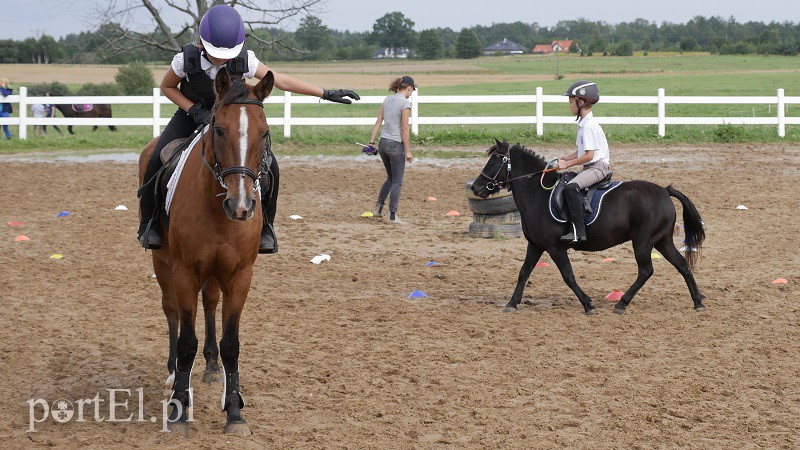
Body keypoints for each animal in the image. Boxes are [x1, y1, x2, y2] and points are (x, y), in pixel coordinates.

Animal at [138, 69, 274, 435]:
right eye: (219, 129)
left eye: (264, 132)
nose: (241, 206)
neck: (217, 208)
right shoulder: (184, 272)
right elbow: (186, 341)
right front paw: (179, 407)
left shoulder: (240, 276)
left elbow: (231, 344)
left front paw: (235, 411)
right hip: (162, 263)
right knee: (171, 311)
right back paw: (173, 372)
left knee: (210, 302)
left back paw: (212, 367)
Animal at [471, 140, 706, 315]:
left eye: (493, 161)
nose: (476, 187)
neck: (538, 194)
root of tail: (665, 191)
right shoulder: (536, 245)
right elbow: (523, 272)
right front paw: (512, 303)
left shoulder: (555, 248)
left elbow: (568, 276)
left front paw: (588, 304)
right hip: (661, 241)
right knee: (682, 264)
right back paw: (697, 301)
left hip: (643, 242)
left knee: (646, 271)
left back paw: (622, 303)